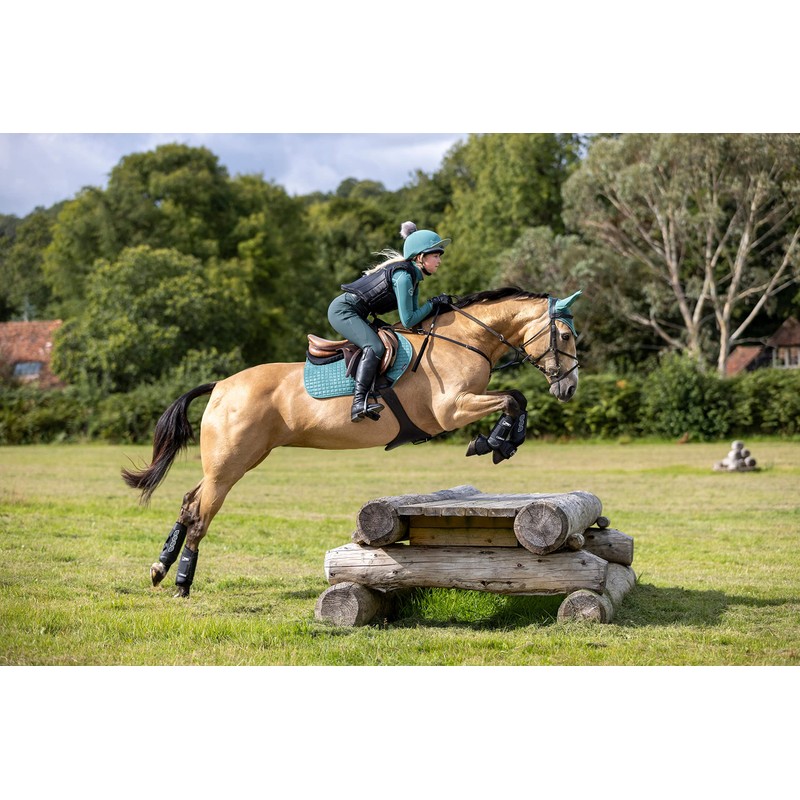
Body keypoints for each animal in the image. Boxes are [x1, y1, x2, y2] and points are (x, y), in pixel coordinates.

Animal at [122, 287, 581, 596]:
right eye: (565, 336)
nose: (570, 388)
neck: (464, 340)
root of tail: (220, 385)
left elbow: (516, 399)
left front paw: (503, 441)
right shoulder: (450, 410)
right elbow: (513, 399)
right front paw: (495, 442)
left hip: (233, 461)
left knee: (188, 502)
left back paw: (160, 568)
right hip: (229, 465)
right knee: (201, 514)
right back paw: (182, 582)